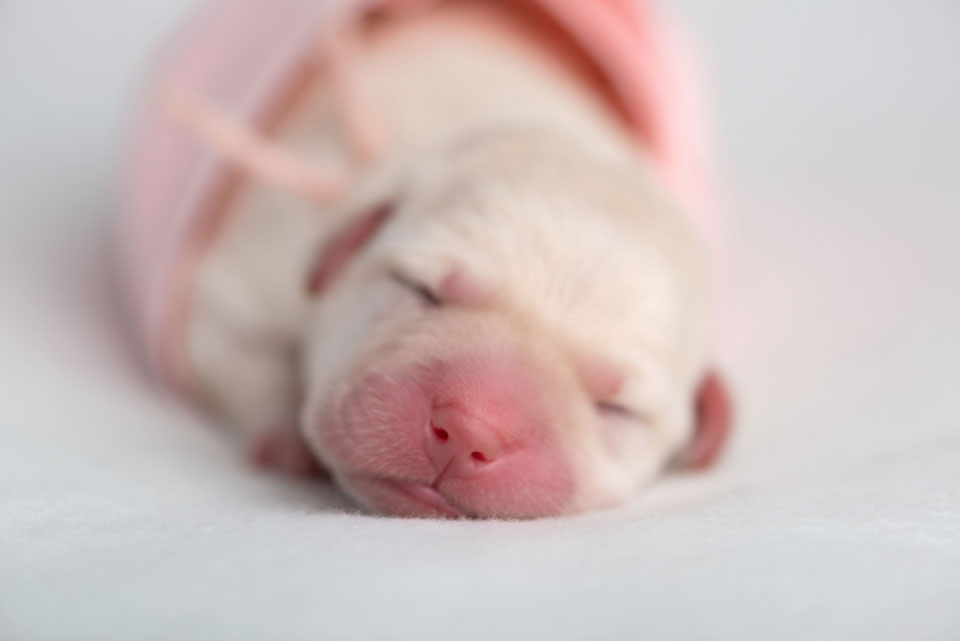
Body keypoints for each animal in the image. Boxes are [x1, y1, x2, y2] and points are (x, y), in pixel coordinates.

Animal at [154, 0, 732, 516]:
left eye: (616, 408)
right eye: (419, 289)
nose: (467, 431)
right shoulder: (263, 260)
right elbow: (233, 341)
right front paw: (288, 442)